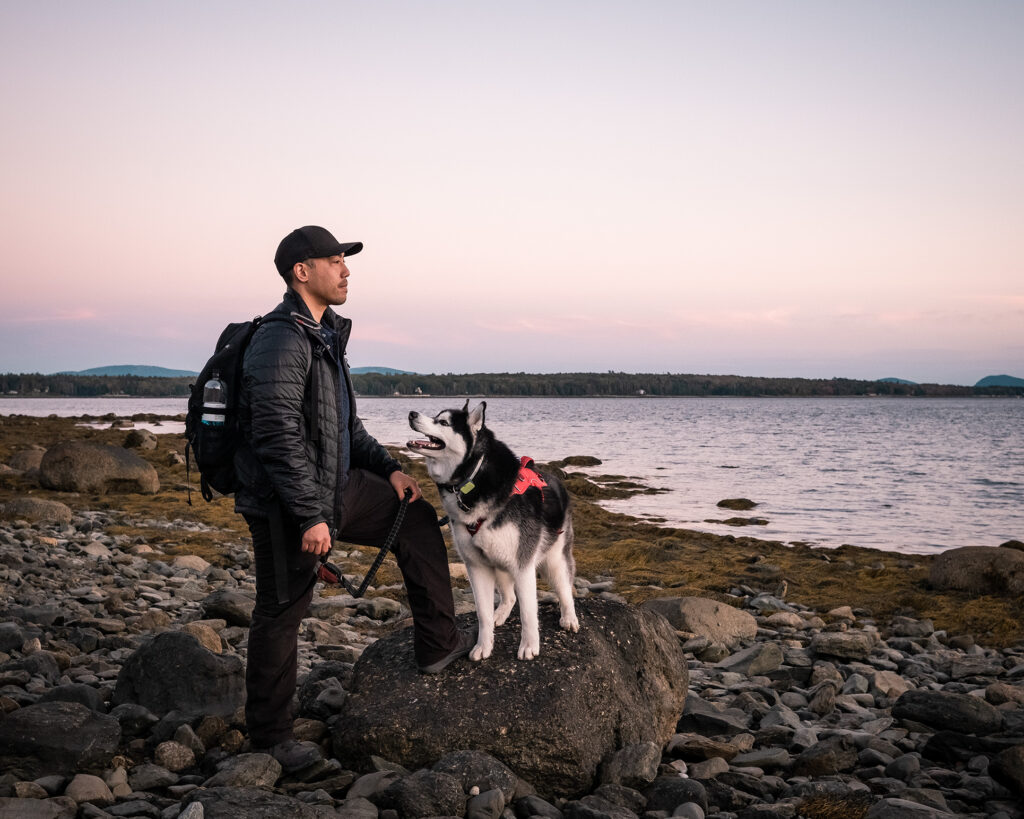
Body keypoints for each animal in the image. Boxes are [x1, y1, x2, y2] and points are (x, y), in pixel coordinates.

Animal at [409, 399, 585, 663]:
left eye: (443, 422)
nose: (411, 413)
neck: (472, 479)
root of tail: (556, 479)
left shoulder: (523, 565)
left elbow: (528, 612)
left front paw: (529, 645)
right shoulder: (477, 566)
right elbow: (482, 613)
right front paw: (484, 645)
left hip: (554, 559)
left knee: (565, 589)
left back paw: (569, 617)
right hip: (499, 561)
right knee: (509, 597)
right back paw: (499, 614)